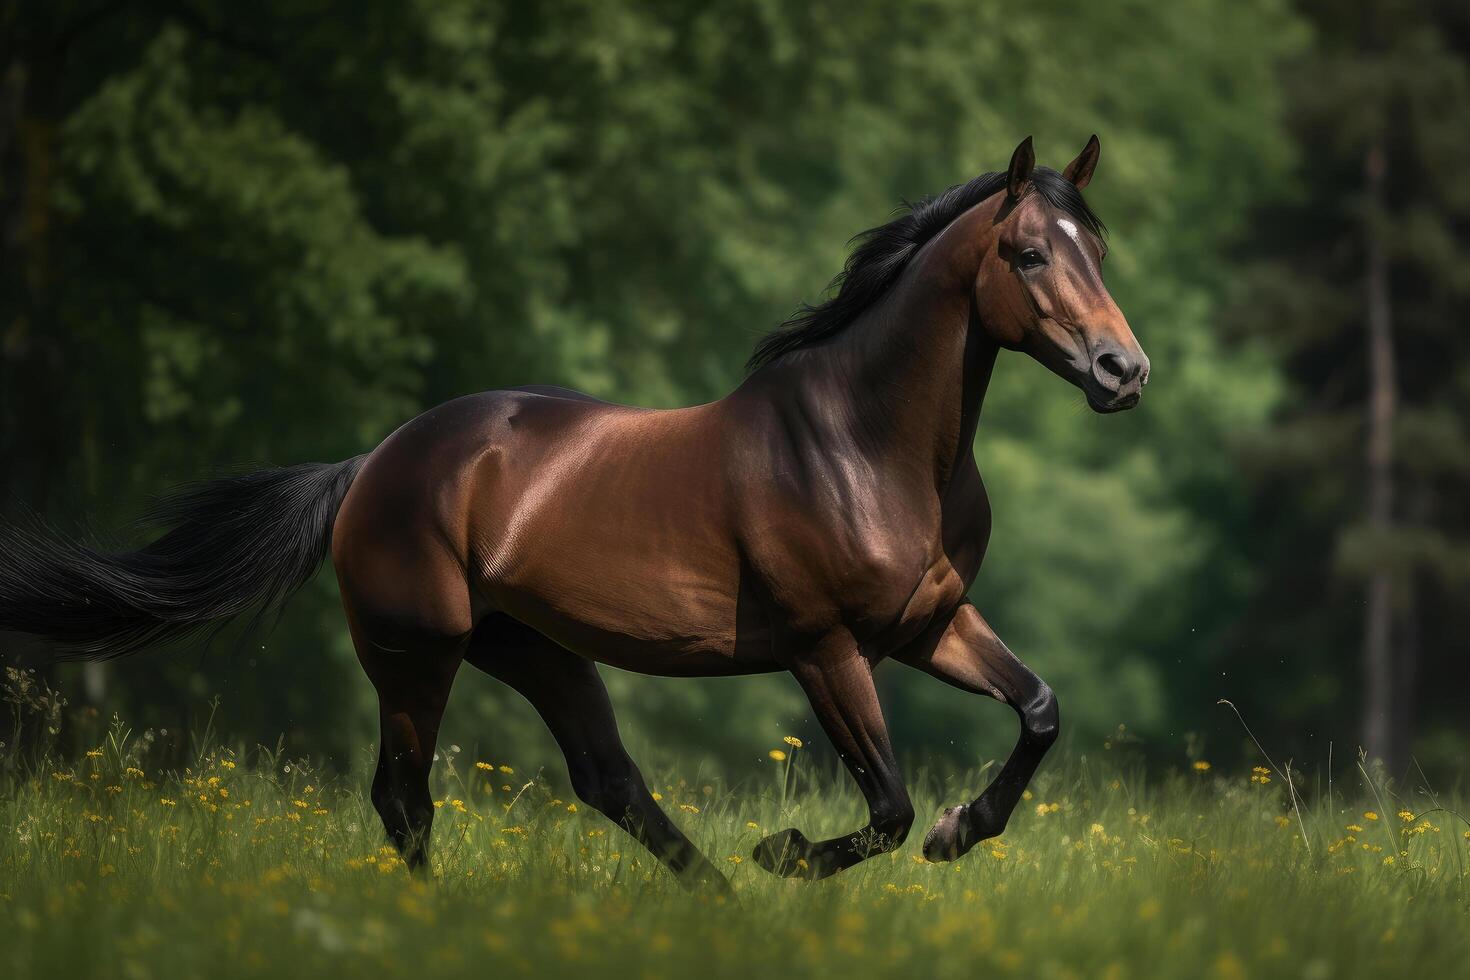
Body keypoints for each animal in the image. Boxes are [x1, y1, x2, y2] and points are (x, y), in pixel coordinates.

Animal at [0, 138, 1146, 899]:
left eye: (1097, 248)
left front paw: (963, 828)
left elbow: (1038, 711)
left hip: (536, 648)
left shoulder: (928, 623)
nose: (1121, 371)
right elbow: (889, 807)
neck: (866, 443)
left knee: (606, 779)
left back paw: (716, 905)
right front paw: (785, 851)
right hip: (416, 654)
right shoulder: (827, 647)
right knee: (406, 795)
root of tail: (374, 464)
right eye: (1030, 254)